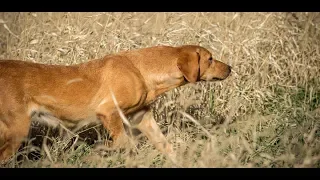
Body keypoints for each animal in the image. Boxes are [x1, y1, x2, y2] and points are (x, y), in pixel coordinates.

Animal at [0, 44, 230, 162]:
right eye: (210, 59)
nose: (230, 68)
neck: (141, 70)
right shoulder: (109, 112)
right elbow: (125, 144)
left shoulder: (142, 117)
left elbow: (165, 145)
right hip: (17, 130)